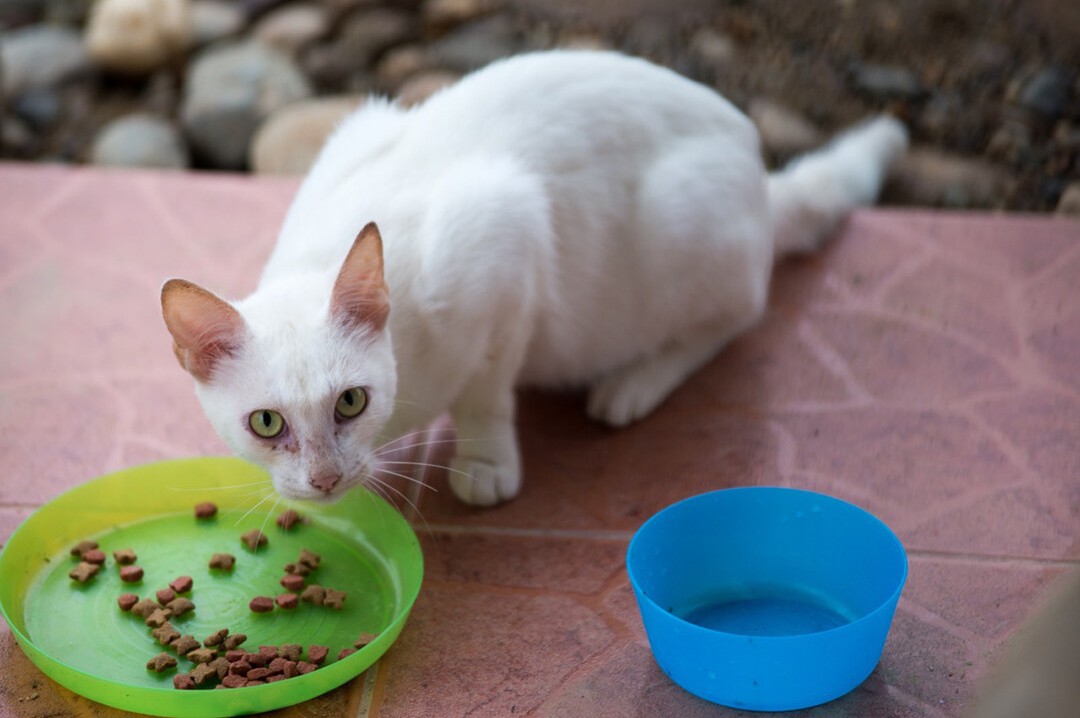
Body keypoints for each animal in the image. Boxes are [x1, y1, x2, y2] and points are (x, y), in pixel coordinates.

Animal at [159, 49, 902, 503]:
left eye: (350, 403)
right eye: (266, 423)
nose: (323, 478)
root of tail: (754, 164)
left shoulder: (506, 243)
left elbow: (486, 395)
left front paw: (486, 466)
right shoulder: (359, 128)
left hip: (681, 220)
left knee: (739, 313)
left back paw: (631, 386)